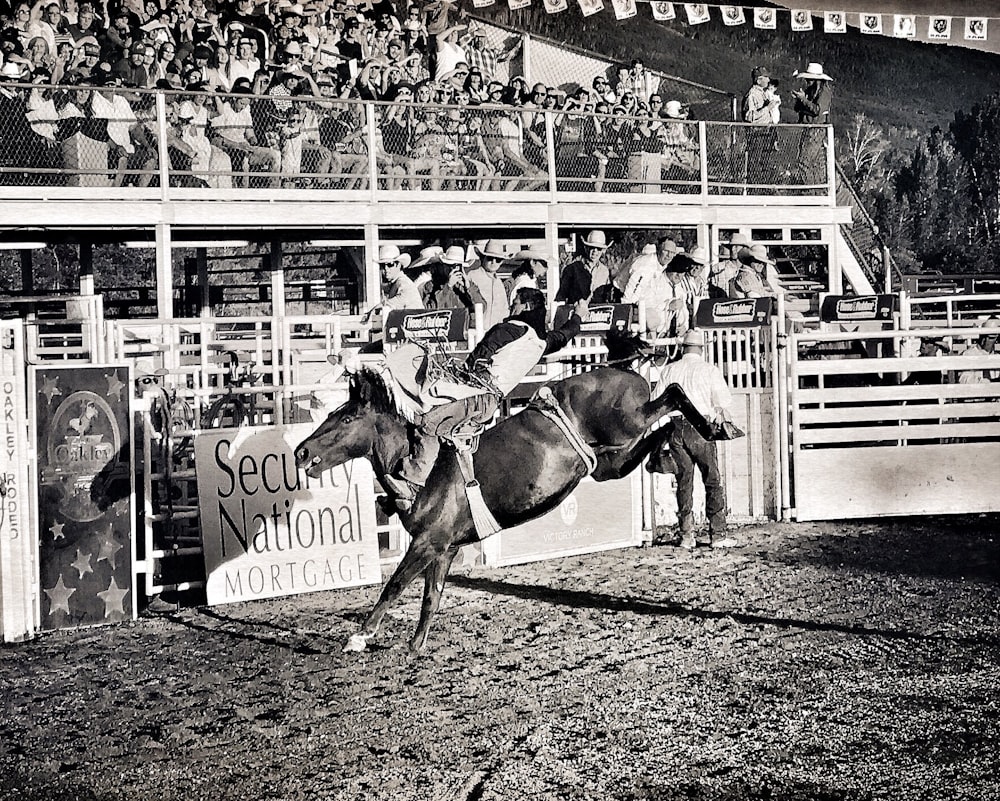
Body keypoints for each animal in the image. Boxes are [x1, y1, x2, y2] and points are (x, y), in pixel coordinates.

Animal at [292, 334, 716, 652]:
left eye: (346, 417)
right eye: (329, 415)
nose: (301, 452)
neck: (420, 470)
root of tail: (626, 368)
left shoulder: (428, 542)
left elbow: (394, 585)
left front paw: (359, 637)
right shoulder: (446, 549)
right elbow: (431, 598)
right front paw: (415, 647)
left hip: (627, 422)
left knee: (674, 393)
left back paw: (716, 426)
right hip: (607, 462)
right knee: (659, 429)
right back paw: (671, 454)